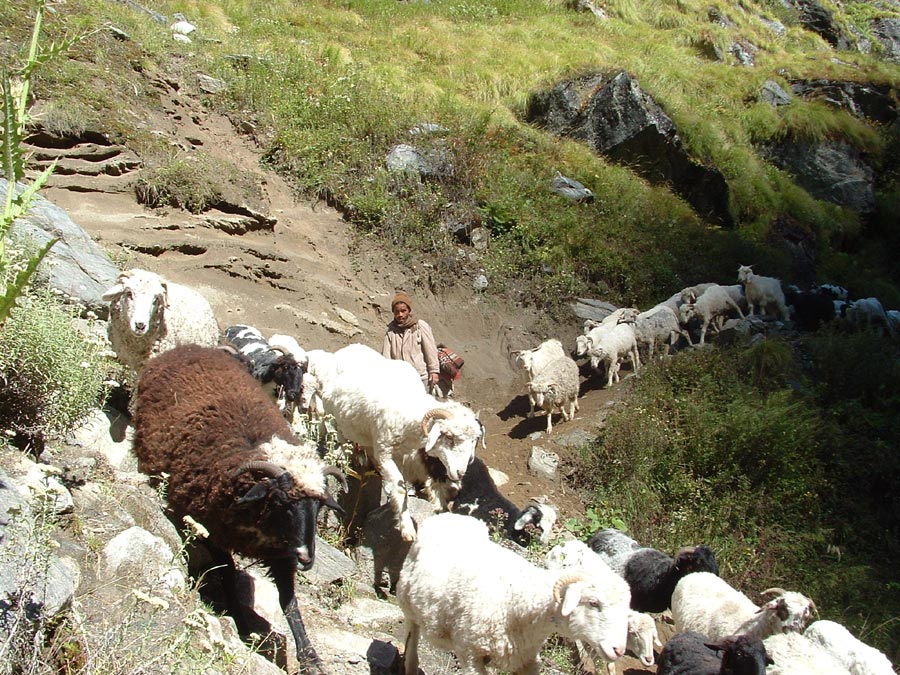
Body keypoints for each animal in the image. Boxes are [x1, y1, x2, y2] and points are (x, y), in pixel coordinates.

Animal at [131, 346, 344, 672]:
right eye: (281, 501)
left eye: (319, 507)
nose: (306, 558)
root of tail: (189, 348)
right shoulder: (213, 532)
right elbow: (229, 573)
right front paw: (241, 624)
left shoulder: (282, 554)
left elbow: (290, 603)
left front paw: (310, 657)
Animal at [316, 346, 486, 540]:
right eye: (449, 436)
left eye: (474, 441)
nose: (460, 473)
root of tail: (350, 347)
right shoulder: (384, 451)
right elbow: (401, 489)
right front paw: (407, 529)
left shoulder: (401, 455)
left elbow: (401, 484)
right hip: (329, 407)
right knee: (332, 428)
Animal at [398, 512, 628, 675]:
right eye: (593, 603)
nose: (619, 650)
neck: (519, 599)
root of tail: (448, 515)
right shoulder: (470, 653)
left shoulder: (525, 660)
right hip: (408, 604)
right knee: (412, 636)